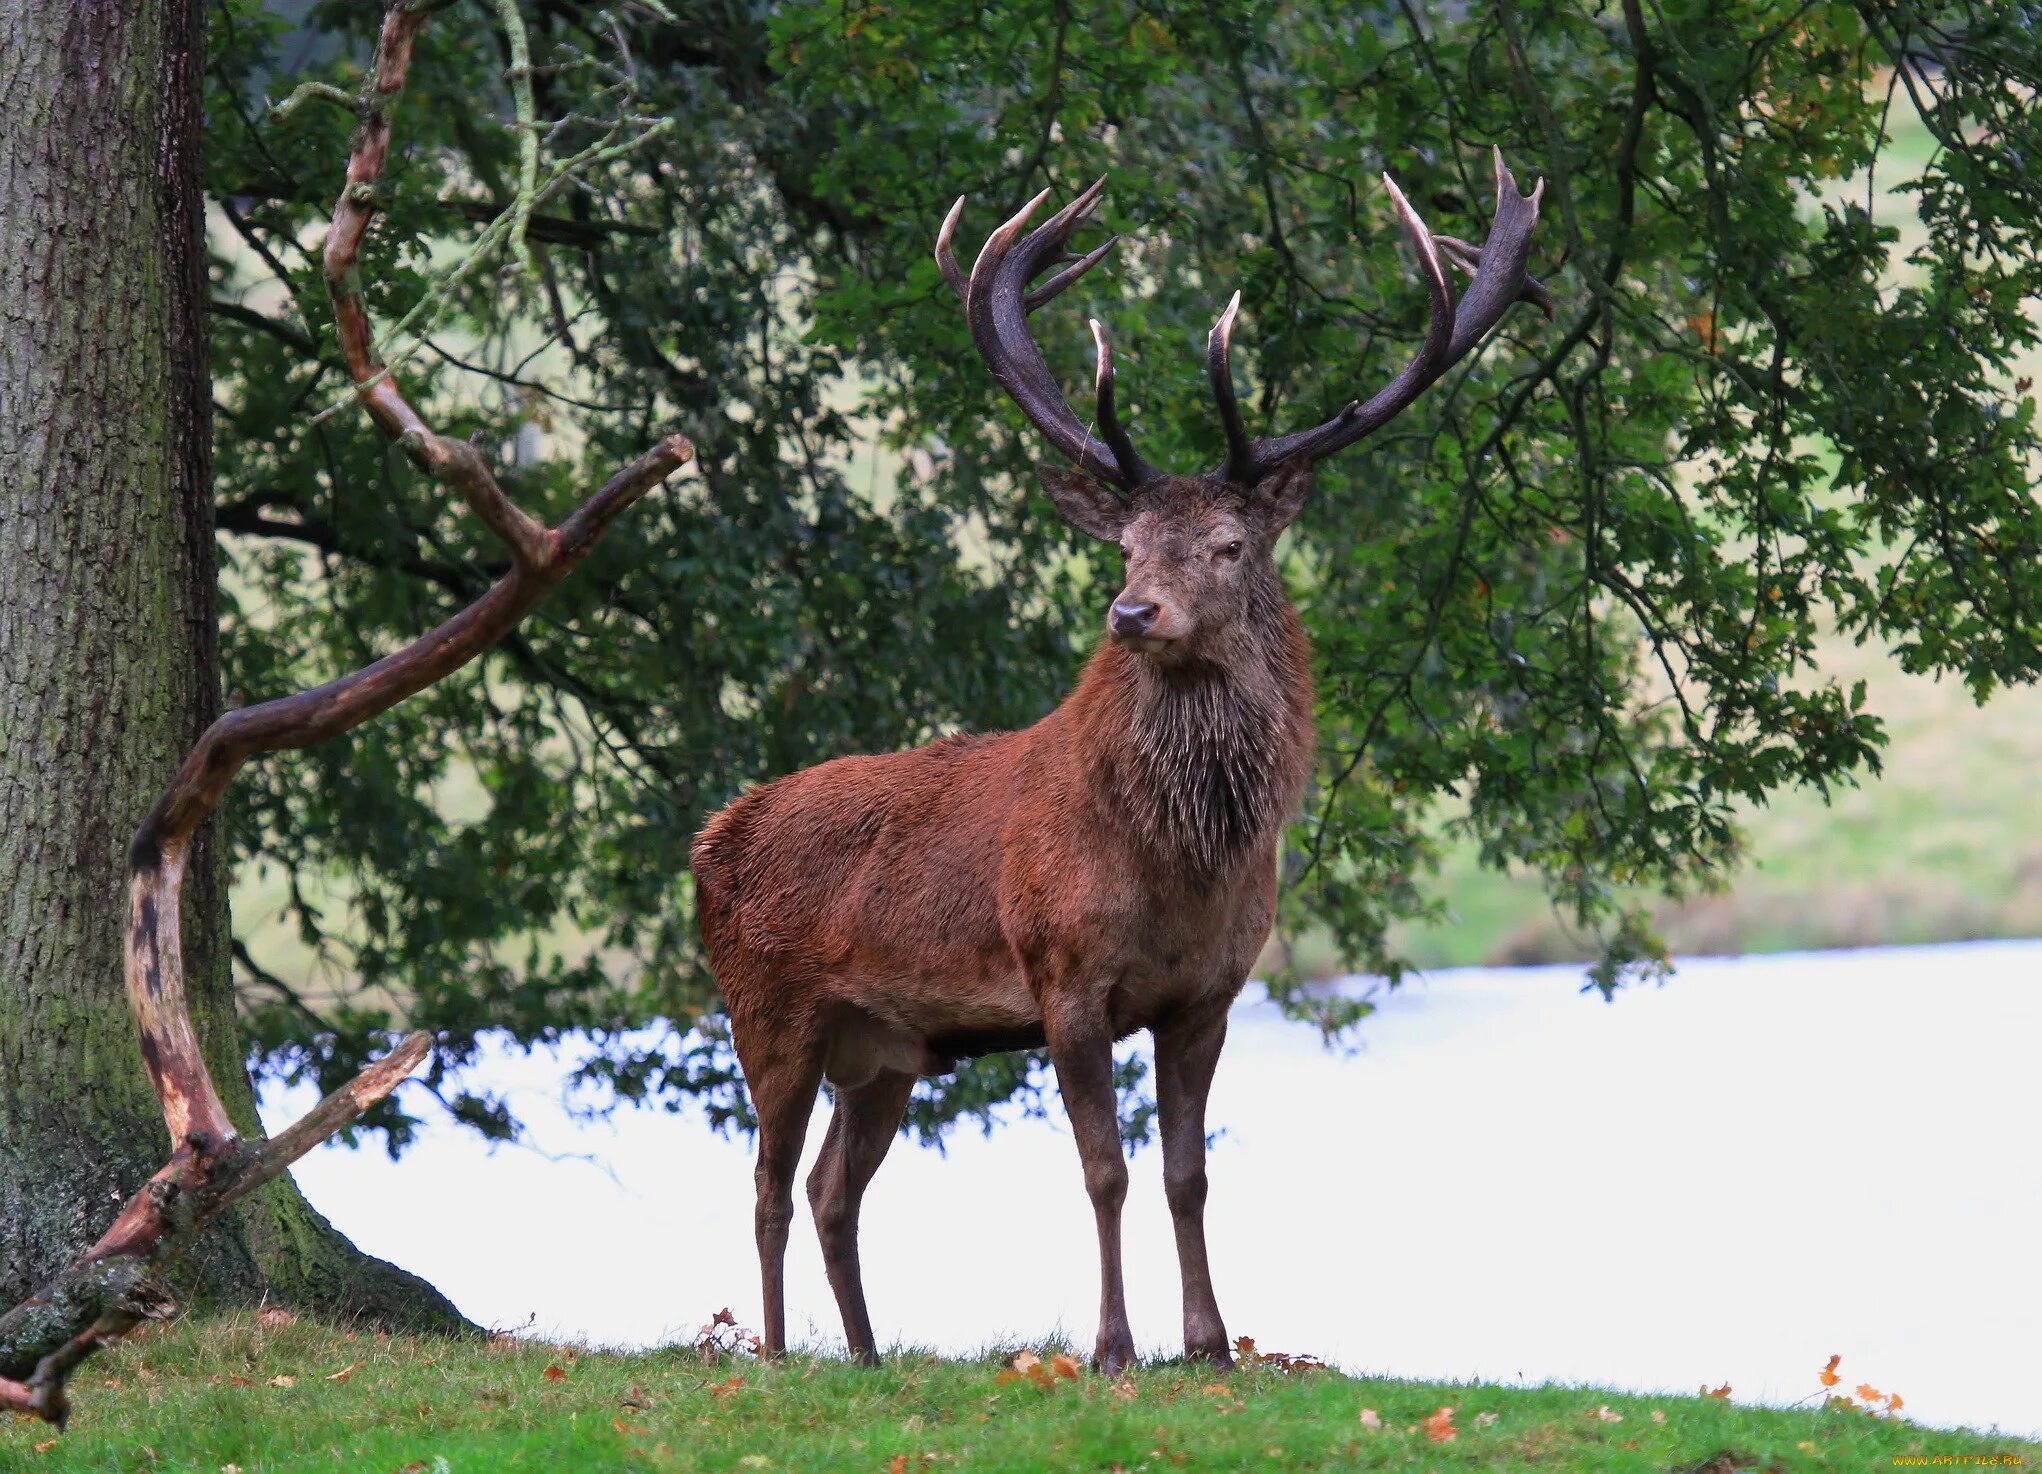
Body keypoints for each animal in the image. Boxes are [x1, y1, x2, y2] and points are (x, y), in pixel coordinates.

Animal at [690, 149, 1543, 1363]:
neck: (1179, 862)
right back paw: (772, 1354)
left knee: (828, 1188)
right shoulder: (1063, 974)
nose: (1130, 611)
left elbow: (1189, 1174)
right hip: (767, 1009)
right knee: (765, 1183)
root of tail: (710, 839)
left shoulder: (1210, 993)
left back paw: (862, 1352)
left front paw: (1211, 1340)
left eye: (1228, 544)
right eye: (1128, 544)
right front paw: (1112, 1348)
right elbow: (1106, 1170)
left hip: (887, 1051)